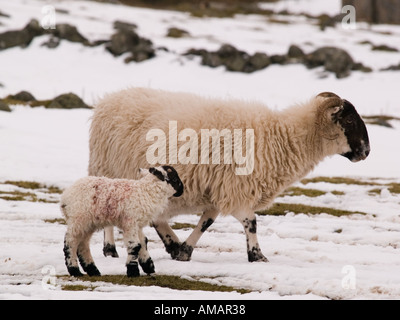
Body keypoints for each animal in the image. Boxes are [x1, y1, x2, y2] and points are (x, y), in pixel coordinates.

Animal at [89, 87, 370, 262]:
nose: (366, 152)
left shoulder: (219, 190)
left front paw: (184, 250)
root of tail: (108, 99)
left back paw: (170, 243)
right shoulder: (237, 189)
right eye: (349, 121)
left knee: (155, 217)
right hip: (107, 168)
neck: (283, 138)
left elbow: (206, 222)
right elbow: (251, 222)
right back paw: (110, 248)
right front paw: (257, 255)